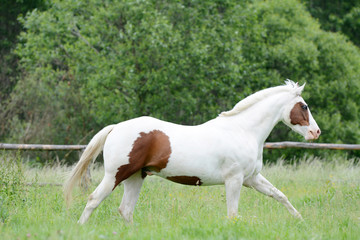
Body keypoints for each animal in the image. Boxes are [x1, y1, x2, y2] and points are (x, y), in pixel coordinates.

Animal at [64, 80, 320, 223]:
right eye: (304, 106)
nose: (315, 132)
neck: (243, 130)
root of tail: (116, 127)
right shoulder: (235, 180)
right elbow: (233, 214)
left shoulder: (252, 179)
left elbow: (280, 195)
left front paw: (301, 221)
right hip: (115, 175)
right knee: (93, 200)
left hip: (136, 177)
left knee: (125, 210)